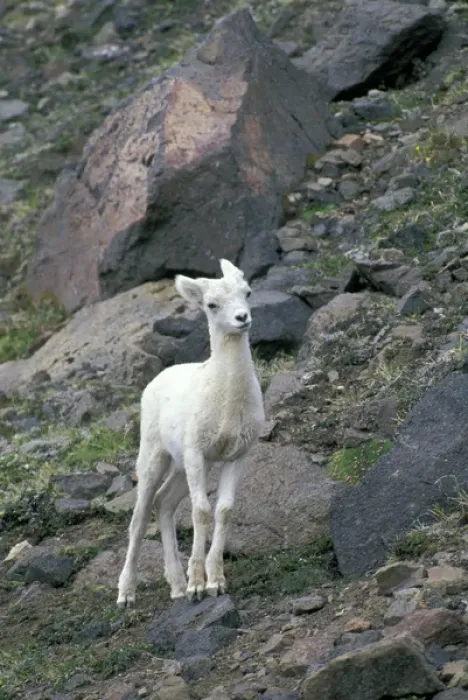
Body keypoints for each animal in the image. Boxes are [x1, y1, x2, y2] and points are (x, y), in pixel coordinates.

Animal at [117, 258, 265, 606]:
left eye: (247, 292)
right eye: (211, 304)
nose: (242, 318)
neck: (227, 399)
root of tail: (156, 381)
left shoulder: (235, 456)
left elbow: (223, 511)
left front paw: (215, 582)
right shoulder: (197, 452)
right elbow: (201, 512)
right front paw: (198, 586)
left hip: (183, 466)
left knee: (164, 503)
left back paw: (176, 586)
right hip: (155, 458)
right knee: (139, 519)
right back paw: (127, 594)